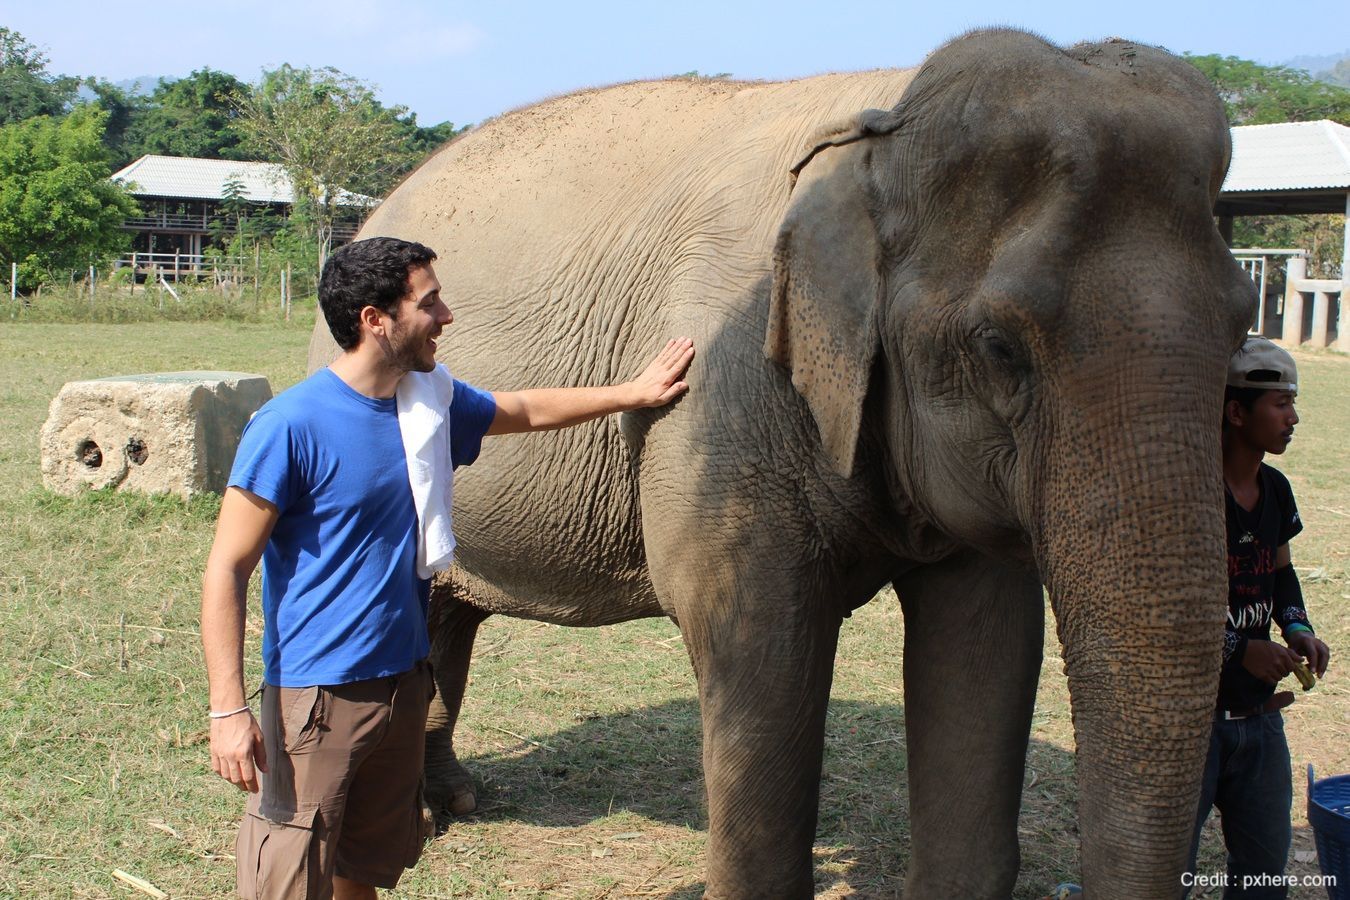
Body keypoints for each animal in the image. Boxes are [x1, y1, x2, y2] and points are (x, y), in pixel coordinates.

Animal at [306, 28, 1252, 900]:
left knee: (446, 612)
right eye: (998, 346)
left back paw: (451, 802)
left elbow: (986, 646)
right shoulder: (721, 397)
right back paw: (427, 819)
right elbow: (759, 641)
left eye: (1244, 320)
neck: (884, 116)